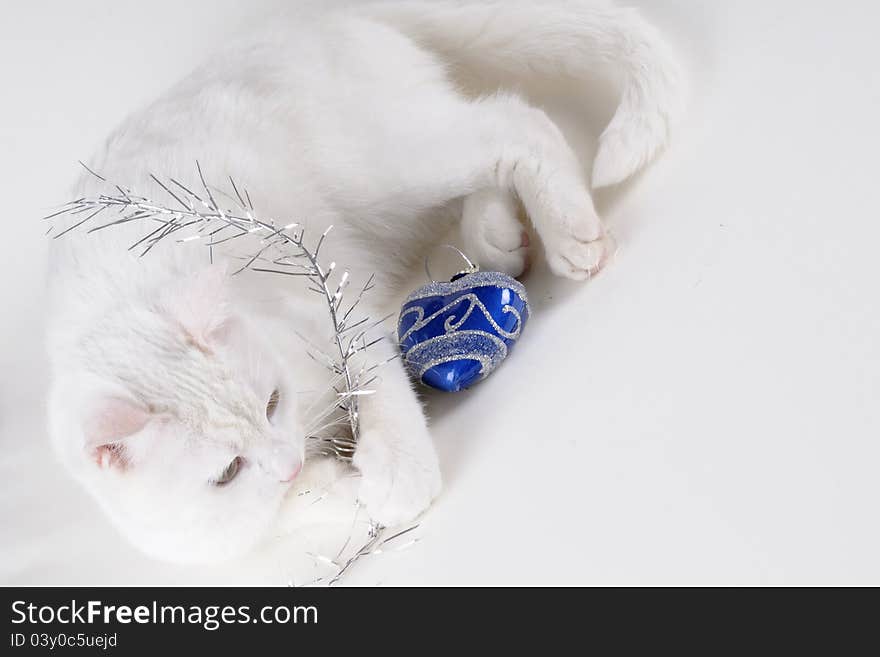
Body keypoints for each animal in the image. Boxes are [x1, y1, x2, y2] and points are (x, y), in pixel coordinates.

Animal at [44, 0, 684, 564]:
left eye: (272, 403)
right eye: (225, 473)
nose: (288, 461)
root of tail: (322, 17)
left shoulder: (329, 303)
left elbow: (374, 376)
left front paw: (397, 472)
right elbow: (290, 510)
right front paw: (342, 486)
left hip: (386, 169)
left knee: (513, 122)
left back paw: (570, 233)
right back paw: (497, 235)